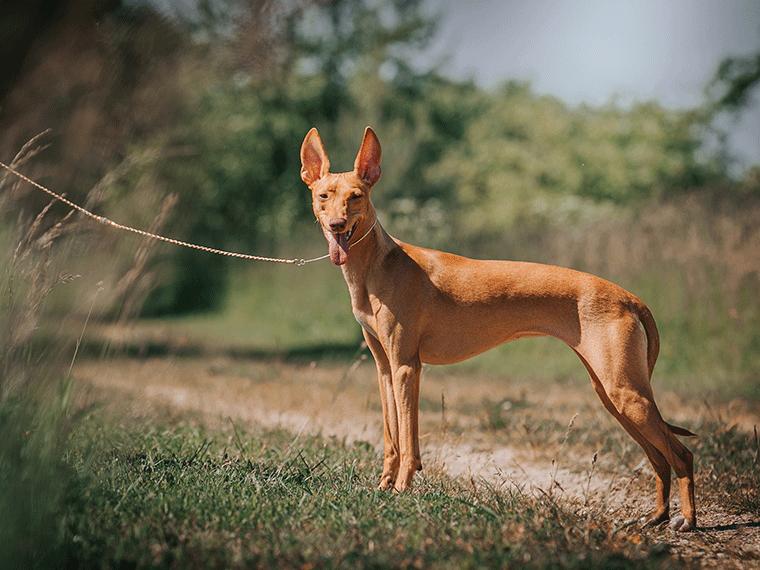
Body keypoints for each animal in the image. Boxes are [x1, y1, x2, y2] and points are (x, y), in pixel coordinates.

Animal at [300, 125, 696, 528]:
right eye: (323, 196)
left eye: (357, 196)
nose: (337, 225)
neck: (377, 266)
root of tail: (626, 295)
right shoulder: (385, 368)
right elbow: (392, 438)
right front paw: (383, 487)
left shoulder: (407, 367)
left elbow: (409, 441)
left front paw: (401, 490)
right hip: (612, 394)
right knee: (659, 456)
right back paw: (658, 516)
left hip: (625, 393)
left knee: (681, 454)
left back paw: (687, 519)